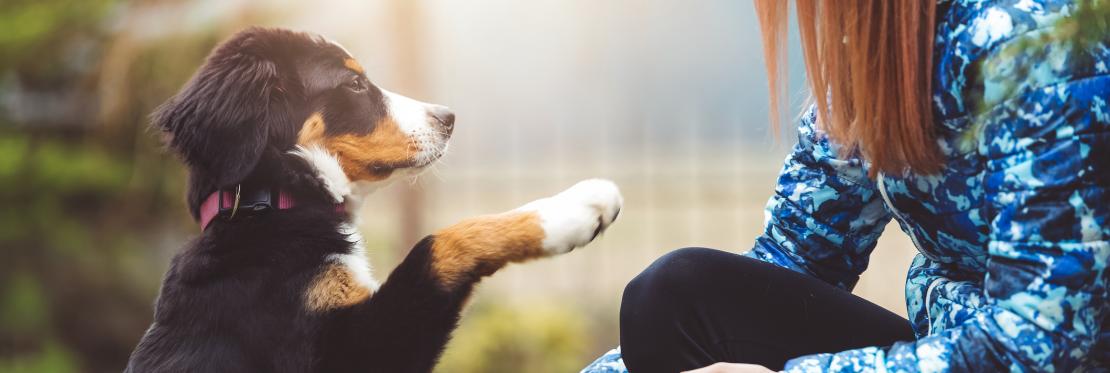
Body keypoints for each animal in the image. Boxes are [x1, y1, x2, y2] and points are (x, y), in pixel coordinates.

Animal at [127, 26, 626, 373]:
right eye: (353, 85)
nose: (449, 118)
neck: (271, 205)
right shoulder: (352, 349)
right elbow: (439, 244)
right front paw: (575, 209)